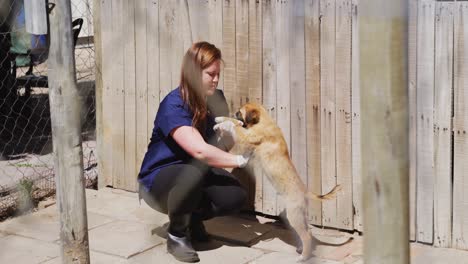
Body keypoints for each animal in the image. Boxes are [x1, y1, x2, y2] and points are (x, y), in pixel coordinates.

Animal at [215, 102, 340, 260]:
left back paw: (303, 257)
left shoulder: (247, 136)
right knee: (308, 232)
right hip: (301, 215)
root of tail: (305, 191)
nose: (234, 112)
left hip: (294, 215)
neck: (264, 121)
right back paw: (301, 249)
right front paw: (219, 120)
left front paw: (223, 122)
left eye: (240, 112)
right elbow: (235, 125)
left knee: (306, 235)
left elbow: (235, 125)